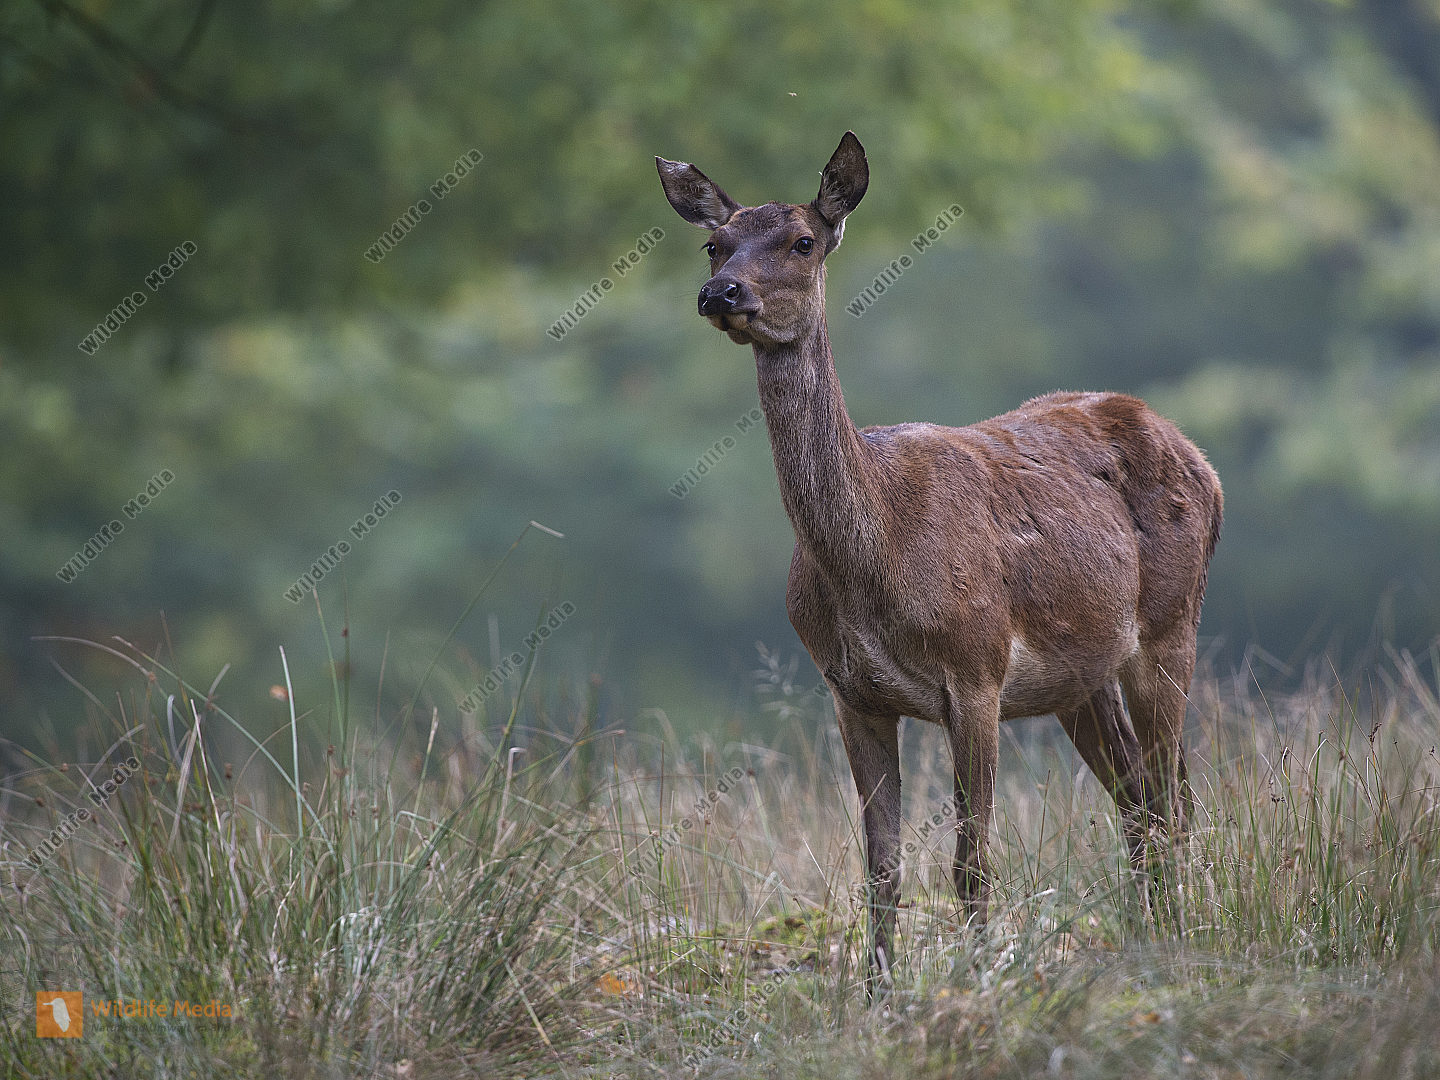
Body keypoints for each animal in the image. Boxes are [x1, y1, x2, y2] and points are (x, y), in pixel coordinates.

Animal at [656, 132, 1222, 989]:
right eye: (713, 242)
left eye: (803, 241)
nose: (721, 293)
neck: (875, 560)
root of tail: (1205, 464)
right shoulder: (849, 690)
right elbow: (881, 865)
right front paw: (877, 994)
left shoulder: (977, 667)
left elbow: (971, 861)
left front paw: (978, 980)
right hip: (1080, 676)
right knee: (1137, 800)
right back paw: (1150, 942)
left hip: (1169, 626)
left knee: (1172, 802)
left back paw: (1183, 946)